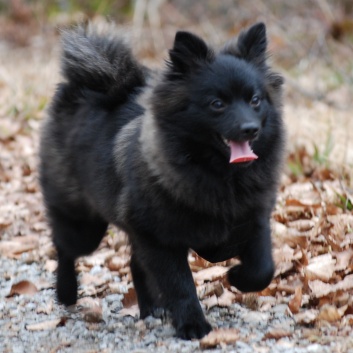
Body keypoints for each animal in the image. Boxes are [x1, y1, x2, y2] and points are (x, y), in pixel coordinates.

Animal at [40, 21, 284, 338]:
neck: (219, 174)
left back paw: (152, 309)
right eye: (217, 104)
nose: (250, 128)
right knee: (65, 249)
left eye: (255, 100)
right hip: (84, 225)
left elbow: (262, 267)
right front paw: (193, 324)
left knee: (134, 264)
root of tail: (82, 88)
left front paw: (237, 275)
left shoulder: (254, 217)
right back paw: (67, 291)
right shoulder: (159, 240)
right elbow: (179, 285)